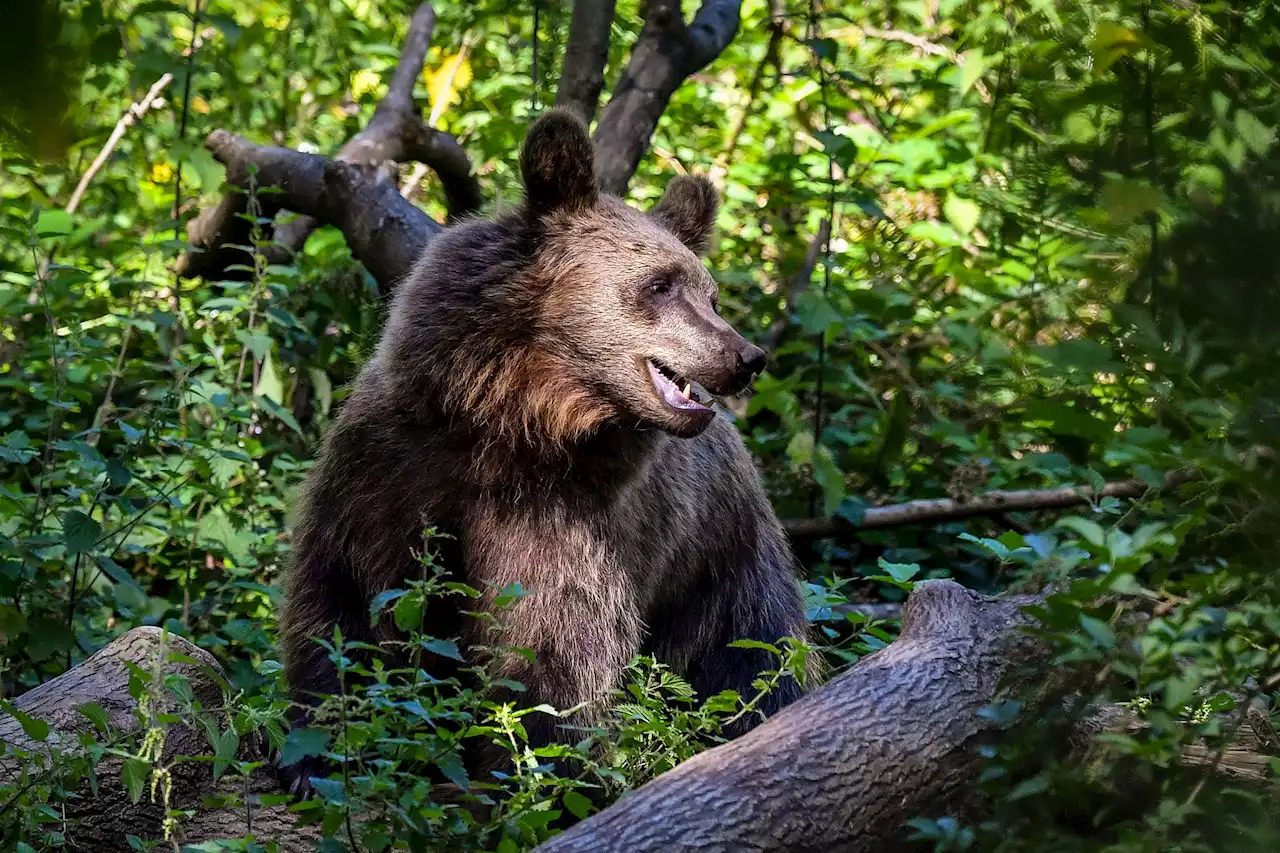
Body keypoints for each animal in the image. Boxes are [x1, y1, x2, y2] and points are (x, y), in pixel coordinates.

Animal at [280, 108, 808, 788]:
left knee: (754, 655)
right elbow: (345, 596)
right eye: (661, 284)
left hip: (719, 558)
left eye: (708, 293)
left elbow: (552, 647)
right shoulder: (392, 466)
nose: (744, 356)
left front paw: (538, 773)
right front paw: (315, 748)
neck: (509, 421)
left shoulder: (563, 518)